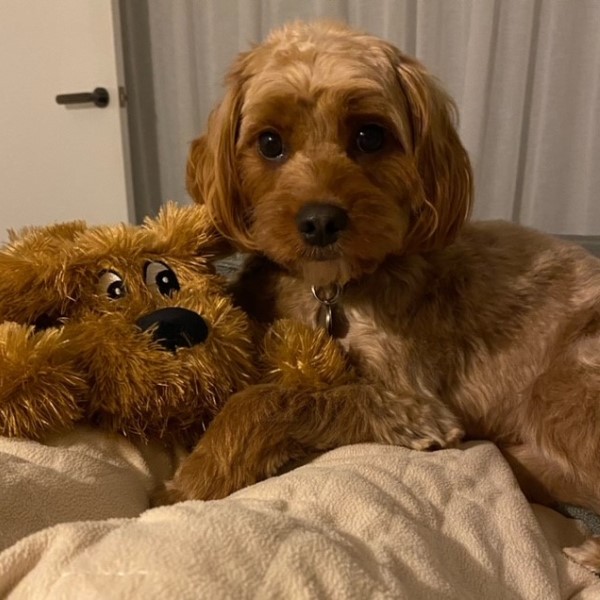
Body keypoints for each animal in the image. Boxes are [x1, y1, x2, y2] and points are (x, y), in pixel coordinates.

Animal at [183, 19, 600, 572]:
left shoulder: (410, 394)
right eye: (269, 143)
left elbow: (285, 397)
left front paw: (202, 468)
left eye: (370, 135)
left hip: (565, 380)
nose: (320, 221)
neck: (330, 287)